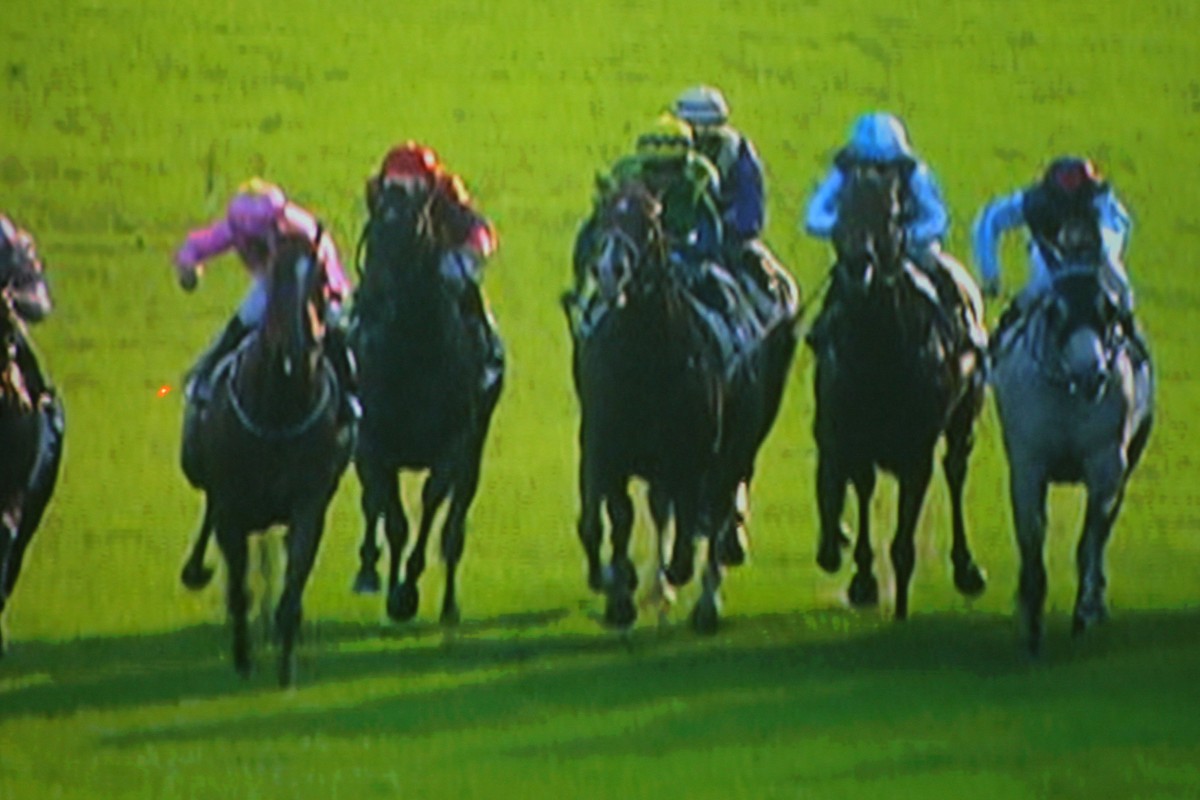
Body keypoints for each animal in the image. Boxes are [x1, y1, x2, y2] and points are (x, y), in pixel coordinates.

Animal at [178, 232, 350, 690]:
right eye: (274, 276)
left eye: (320, 279)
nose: (297, 344)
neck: (279, 409)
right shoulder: (232, 506)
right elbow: (238, 588)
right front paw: (242, 658)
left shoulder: (308, 504)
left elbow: (292, 586)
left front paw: (286, 667)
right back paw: (196, 570)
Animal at [348, 178, 501, 628]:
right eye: (373, 233)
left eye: (413, 231)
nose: (371, 300)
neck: (415, 350)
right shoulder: (374, 443)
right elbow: (391, 517)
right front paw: (394, 591)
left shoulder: (454, 446)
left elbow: (434, 506)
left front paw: (410, 588)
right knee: (372, 503)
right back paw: (368, 570)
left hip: (474, 450)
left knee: (454, 525)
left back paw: (449, 603)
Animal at [811, 167, 988, 618]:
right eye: (842, 207)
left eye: (890, 213)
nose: (858, 264)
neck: (880, 354)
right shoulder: (854, 440)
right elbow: (861, 487)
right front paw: (862, 579)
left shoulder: (916, 452)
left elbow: (904, 543)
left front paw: (901, 607)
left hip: (964, 419)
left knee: (956, 470)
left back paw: (966, 568)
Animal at [984, 271, 1152, 657]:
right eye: (1055, 313)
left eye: (1108, 312)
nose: (1093, 375)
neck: (1067, 395)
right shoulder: (1029, 465)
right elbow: (1031, 535)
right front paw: (1031, 616)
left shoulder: (1106, 466)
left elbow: (1090, 540)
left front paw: (1084, 611)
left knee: (1102, 534)